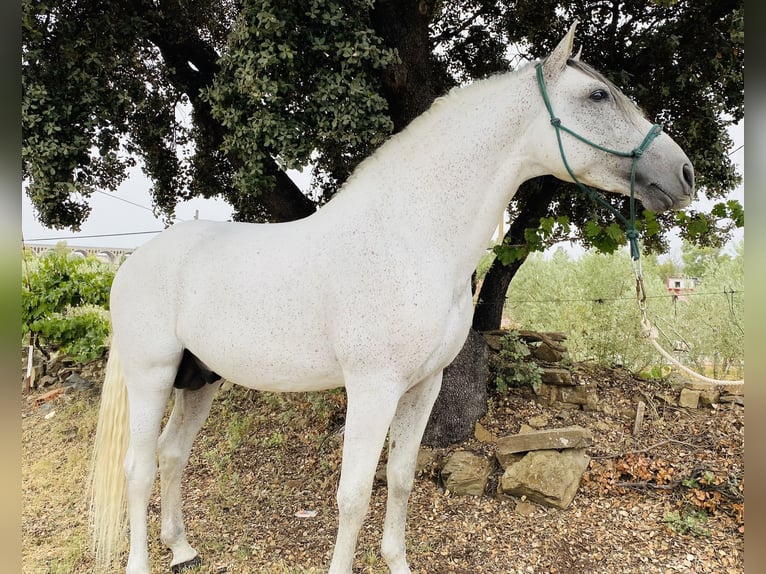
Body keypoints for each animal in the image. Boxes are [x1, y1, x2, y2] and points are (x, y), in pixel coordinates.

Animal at [90, 24, 696, 574]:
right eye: (597, 95)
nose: (685, 173)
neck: (412, 236)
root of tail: (133, 262)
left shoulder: (423, 387)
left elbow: (401, 480)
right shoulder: (372, 387)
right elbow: (354, 495)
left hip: (199, 379)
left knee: (172, 454)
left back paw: (183, 549)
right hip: (151, 376)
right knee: (138, 468)